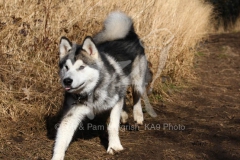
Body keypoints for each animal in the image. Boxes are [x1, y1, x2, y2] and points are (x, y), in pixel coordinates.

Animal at [52, 11, 152, 160]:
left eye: (81, 67)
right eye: (66, 67)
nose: (67, 81)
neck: (93, 91)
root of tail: (130, 35)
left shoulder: (115, 102)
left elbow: (112, 126)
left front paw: (114, 146)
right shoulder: (71, 115)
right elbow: (62, 137)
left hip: (137, 81)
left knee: (137, 95)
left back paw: (138, 115)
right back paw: (124, 114)